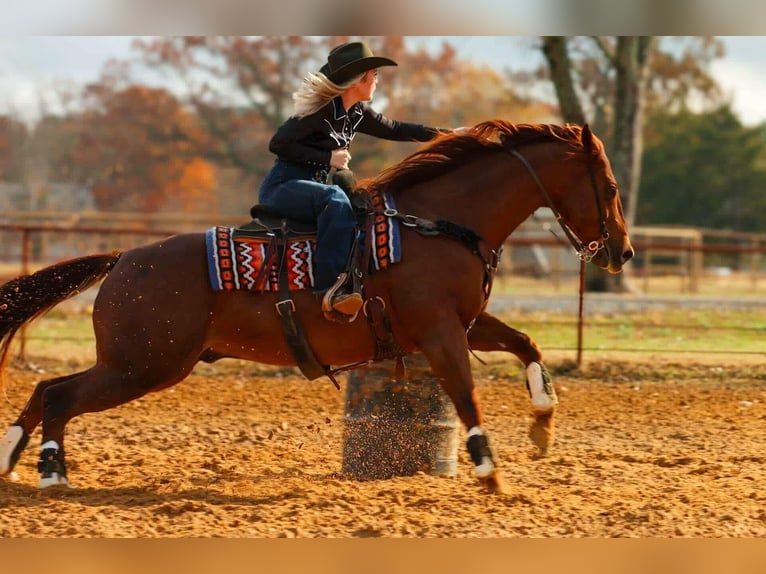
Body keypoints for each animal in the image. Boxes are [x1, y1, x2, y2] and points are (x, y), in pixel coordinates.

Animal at [0, 121, 633, 494]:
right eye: (609, 186)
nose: (622, 252)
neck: (436, 223)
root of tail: (124, 259)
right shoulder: (440, 332)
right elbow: (464, 392)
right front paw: (488, 468)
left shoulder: (466, 324)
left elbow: (526, 343)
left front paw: (543, 424)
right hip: (142, 366)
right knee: (58, 396)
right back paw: (50, 472)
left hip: (141, 364)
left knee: (46, 389)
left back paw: (14, 460)